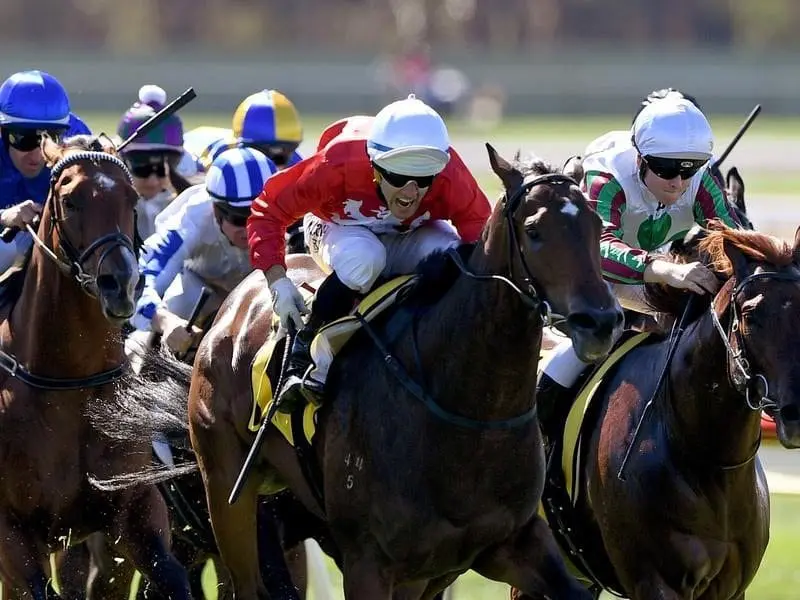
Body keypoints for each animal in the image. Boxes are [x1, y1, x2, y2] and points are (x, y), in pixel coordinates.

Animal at [0, 136, 191, 600]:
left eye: (131, 198)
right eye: (70, 200)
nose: (120, 284)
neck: (70, 381)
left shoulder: (135, 508)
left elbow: (173, 578)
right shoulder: (11, 532)